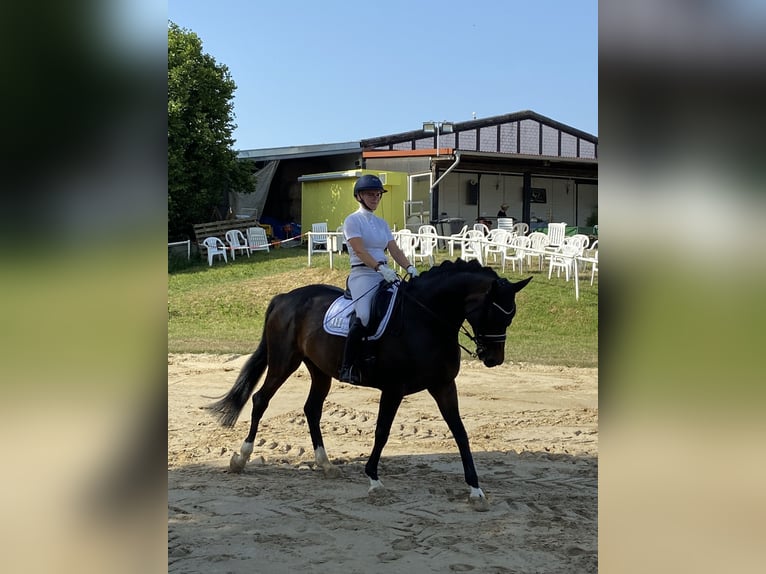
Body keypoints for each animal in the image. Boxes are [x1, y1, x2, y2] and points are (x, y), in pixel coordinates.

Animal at [208, 260, 536, 512]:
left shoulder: (443, 385)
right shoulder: (393, 389)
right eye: (495, 314)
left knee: (311, 409)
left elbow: (460, 433)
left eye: (512, 316)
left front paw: (476, 492)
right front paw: (374, 481)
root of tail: (286, 297)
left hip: (319, 370)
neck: (426, 319)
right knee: (260, 400)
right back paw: (241, 458)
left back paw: (325, 464)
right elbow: (382, 432)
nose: (493, 359)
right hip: (283, 362)